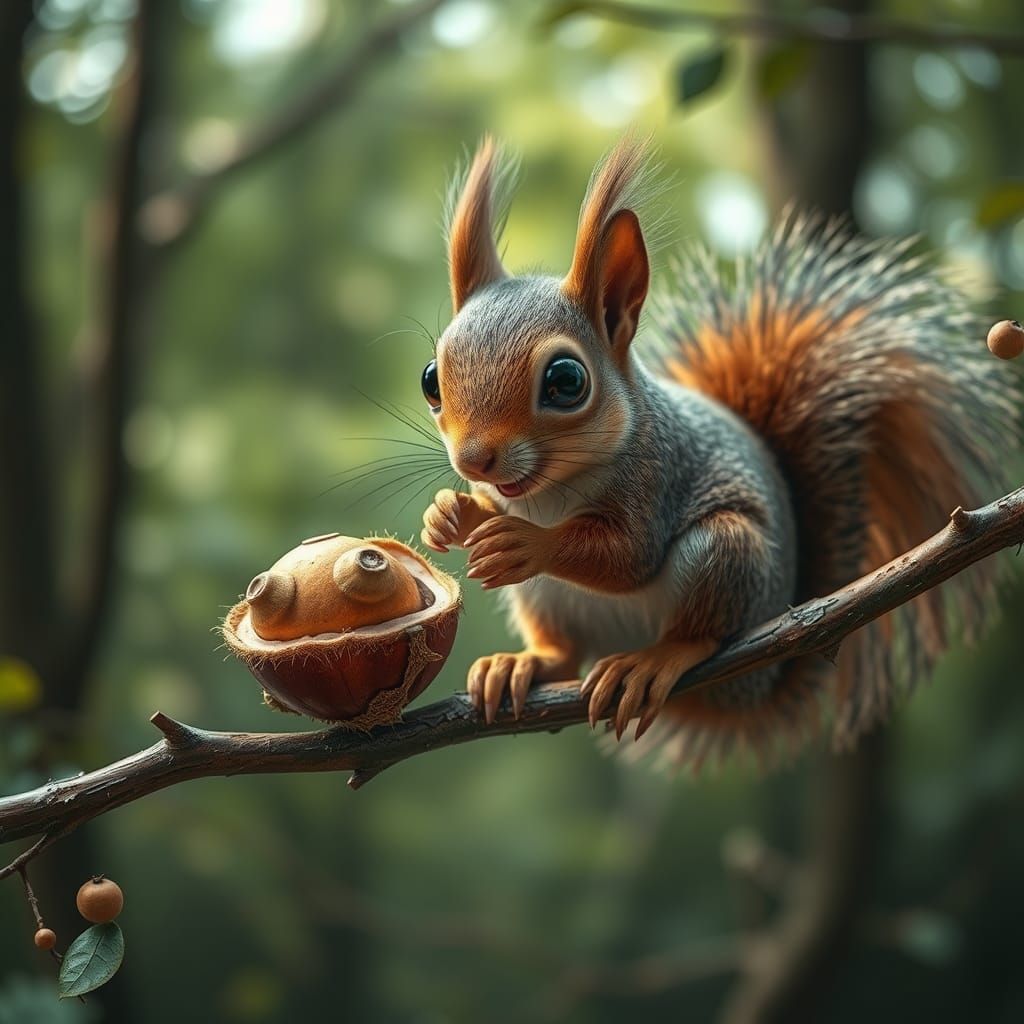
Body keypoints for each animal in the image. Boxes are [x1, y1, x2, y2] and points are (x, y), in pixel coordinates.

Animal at [417, 136, 1015, 767]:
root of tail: (750, 691)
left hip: (724, 553)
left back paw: (653, 661)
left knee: (699, 633)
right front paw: (450, 513)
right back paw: (523, 664)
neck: (551, 491)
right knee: (565, 654)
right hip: (544, 599)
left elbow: (628, 557)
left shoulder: (656, 477)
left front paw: (529, 541)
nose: (474, 460)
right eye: (431, 379)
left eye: (565, 381)